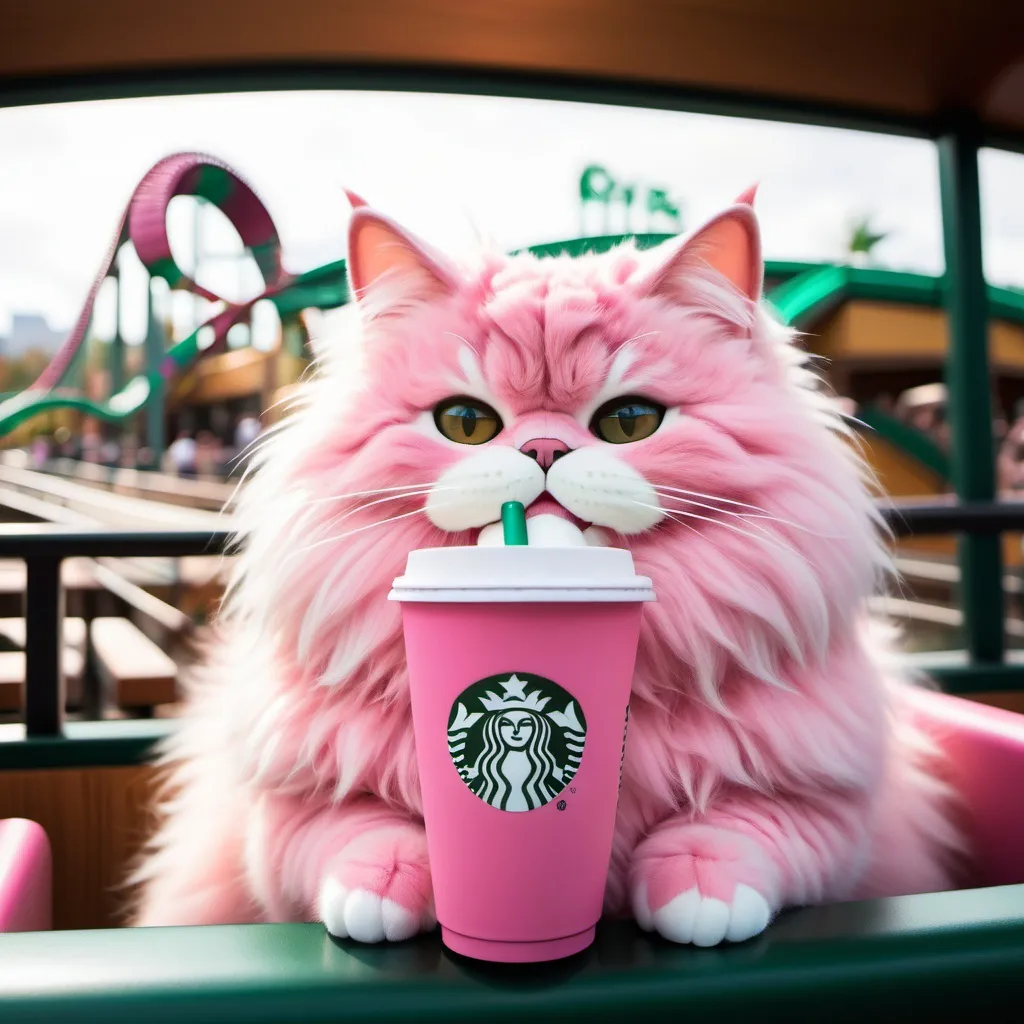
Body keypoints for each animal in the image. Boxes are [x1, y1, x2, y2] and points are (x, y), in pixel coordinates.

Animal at [132, 190, 962, 942]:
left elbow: (737, 833)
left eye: (630, 422)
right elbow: (358, 838)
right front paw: (386, 893)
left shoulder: (833, 806)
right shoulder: (281, 812)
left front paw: (700, 896)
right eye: (466, 423)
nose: (542, 449)